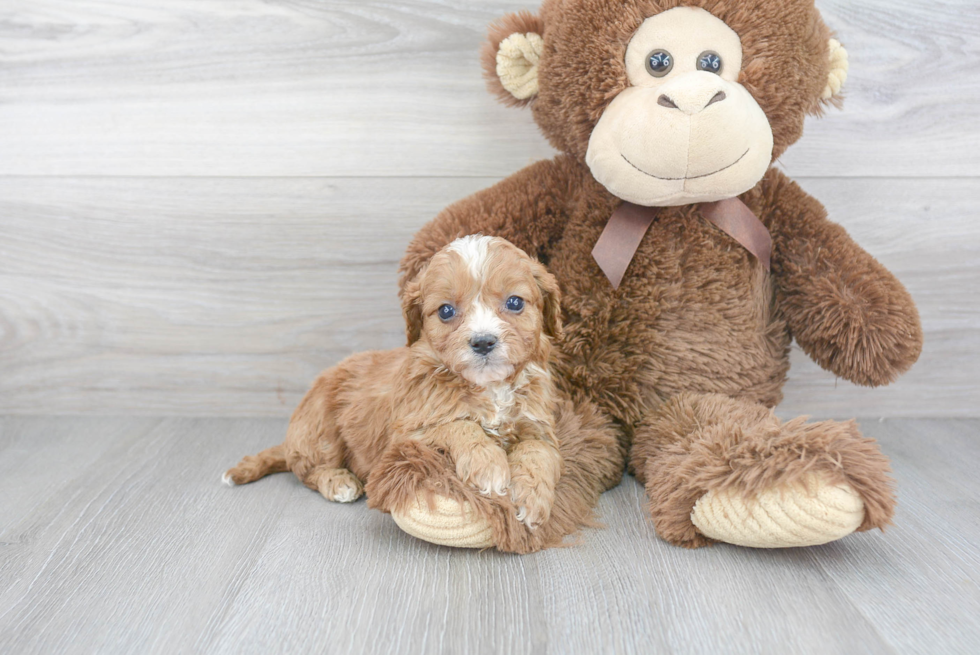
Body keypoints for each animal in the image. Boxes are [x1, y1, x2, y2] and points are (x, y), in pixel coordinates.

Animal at [221, 236, 560, 528]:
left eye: (515, 303)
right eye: (446, 311)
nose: (483, 342)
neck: (489, 387)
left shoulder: (538, 426)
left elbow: (538, 452)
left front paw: (532, 498)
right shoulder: (409, 432)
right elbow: (459, 425)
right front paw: (487, 464)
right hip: (321, 427)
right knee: (305, 469)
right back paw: (338, 481)